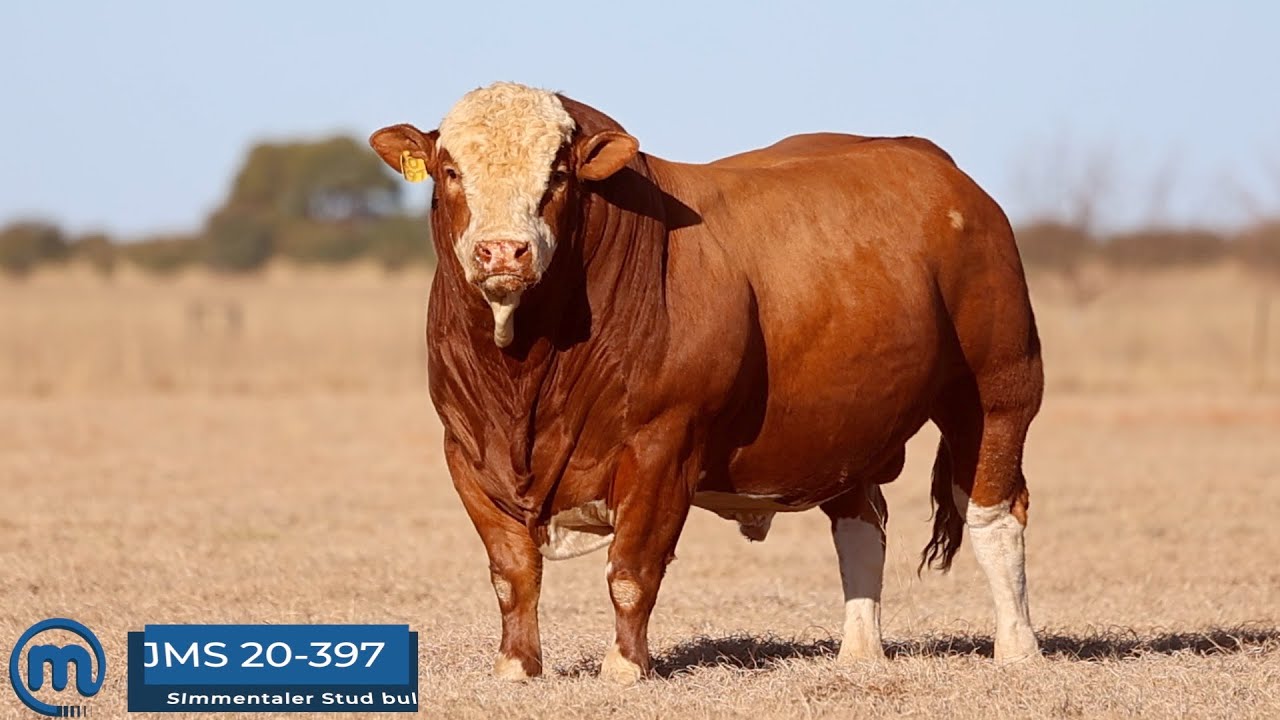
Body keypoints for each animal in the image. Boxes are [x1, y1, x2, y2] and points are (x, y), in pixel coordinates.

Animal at [369, 81, 1043, 684]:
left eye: (558, 174)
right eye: (450, 170)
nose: (503, 252)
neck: (525, 376)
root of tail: (946, 173)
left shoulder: (662, 445)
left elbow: (631, 569)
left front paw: (626, 668)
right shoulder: (466, 450)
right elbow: (513, 573)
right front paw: (517, 668)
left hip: (996, 391)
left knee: (994, 517)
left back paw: (1017, 649)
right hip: (844, 426)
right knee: (860, 524)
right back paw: (859, 653)